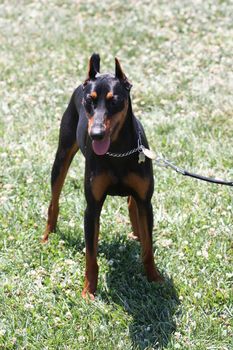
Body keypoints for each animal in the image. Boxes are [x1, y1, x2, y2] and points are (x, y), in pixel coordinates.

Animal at [42, 54, 162, 298]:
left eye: (114, 101)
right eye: (90, 100)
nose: (96, 134)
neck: (117, 149)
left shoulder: (146, 202)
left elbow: (148, 248)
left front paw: (154, 278)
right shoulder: (92, 206)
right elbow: (91, 255)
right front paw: (89, 290)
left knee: (131, 205)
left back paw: (137, 233)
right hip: (62, 156)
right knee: (54, 201)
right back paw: (48, 235)